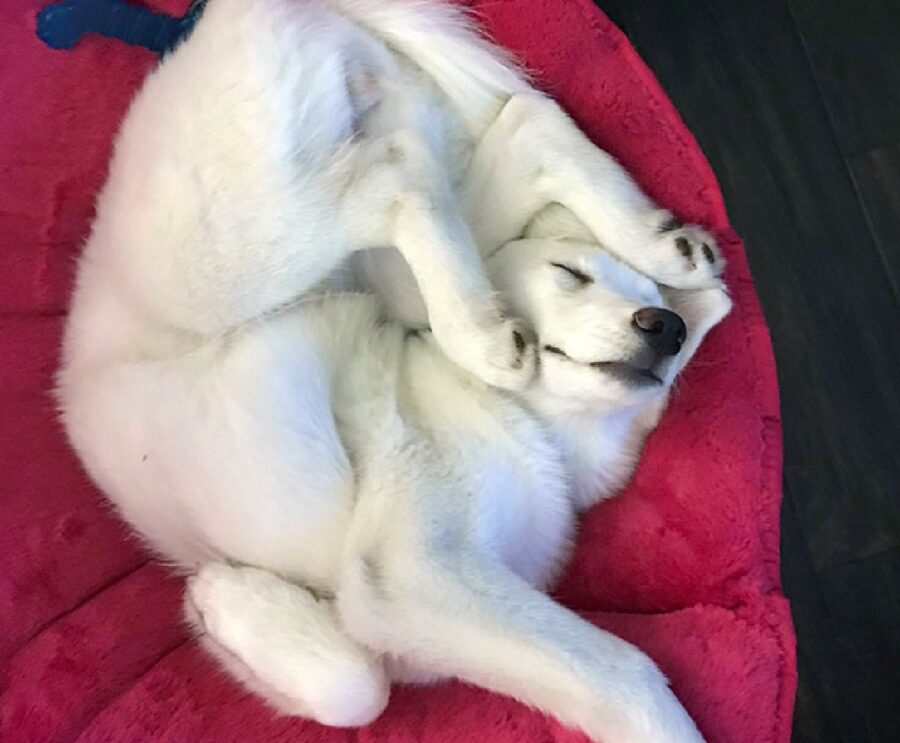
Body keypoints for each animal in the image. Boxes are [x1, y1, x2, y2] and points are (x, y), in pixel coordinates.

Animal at [56, 1, 732, 743]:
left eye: (664, 323)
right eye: (569, 274)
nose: (666, 326)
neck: (537, 432)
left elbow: (361, 683)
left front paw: (234, 611)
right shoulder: (412, 578)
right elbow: (617, 675)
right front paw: (236, 601)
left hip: (359, 226)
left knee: (520, 126)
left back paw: (662, 249)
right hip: (239, 254)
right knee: (398, 180)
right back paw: (488, 334)